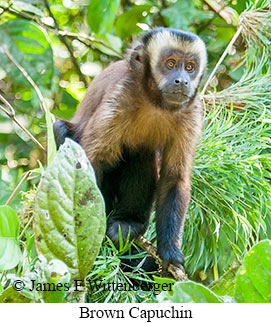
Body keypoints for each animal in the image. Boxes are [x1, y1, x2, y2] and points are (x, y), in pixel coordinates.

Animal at [54, 27, 208, 270]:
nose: (182, 81)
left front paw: (170, 250)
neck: (154, 102)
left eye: (190, 67)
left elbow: (174, 177)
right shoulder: (118, 98)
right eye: (171, 63)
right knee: (63, 131)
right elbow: (89, 163)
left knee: (141, 152)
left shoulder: (192, 112)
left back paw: (128, 223)